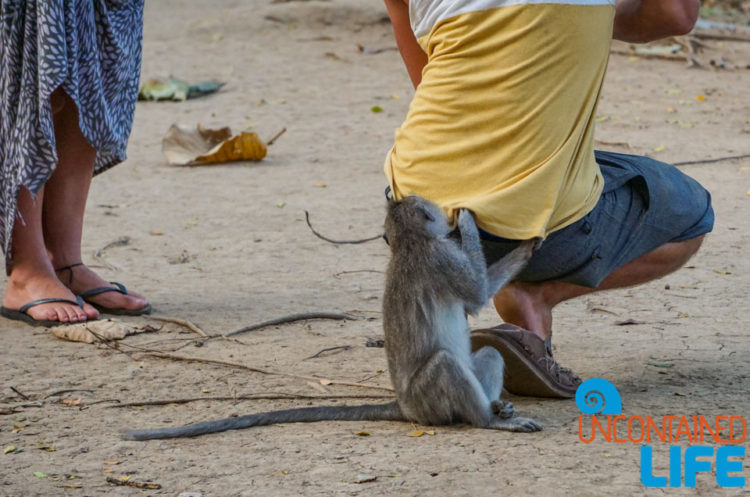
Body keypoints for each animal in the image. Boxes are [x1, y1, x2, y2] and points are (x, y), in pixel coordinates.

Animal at [126, 196, 544, 440]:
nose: (449, 213)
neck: (410, 242)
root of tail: (405, 406)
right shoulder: (440, 257)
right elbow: (475, 295)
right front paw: (478, 225)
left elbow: (473, 305)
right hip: (427, 401)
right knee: (444, 364)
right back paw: (489, 420)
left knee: (488, 354)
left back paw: (496, 407)